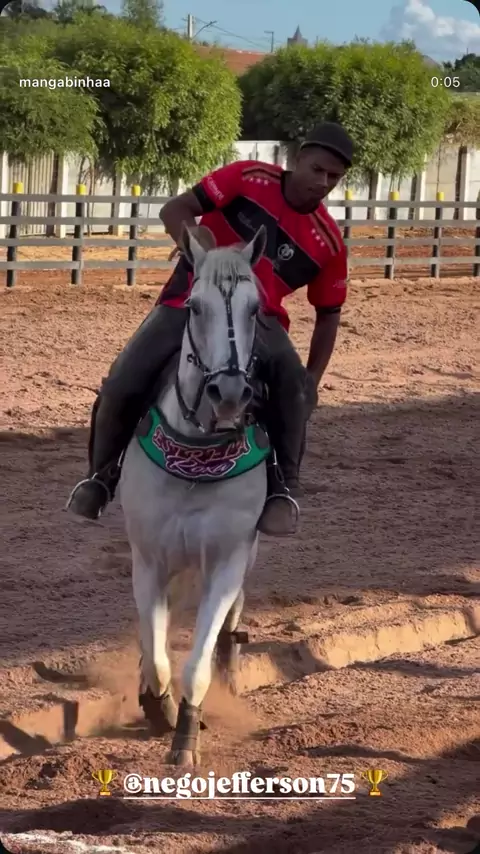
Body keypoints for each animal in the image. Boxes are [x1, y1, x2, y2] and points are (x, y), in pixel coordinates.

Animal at [119, 223, 270, 766]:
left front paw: (185, 738)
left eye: (255, 308)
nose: (229, 394)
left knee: (228, 626)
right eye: (195, 306)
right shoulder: (148, 559)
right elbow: (156, 651)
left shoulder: (226, 563)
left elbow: (195, 661)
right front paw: (155, 704)